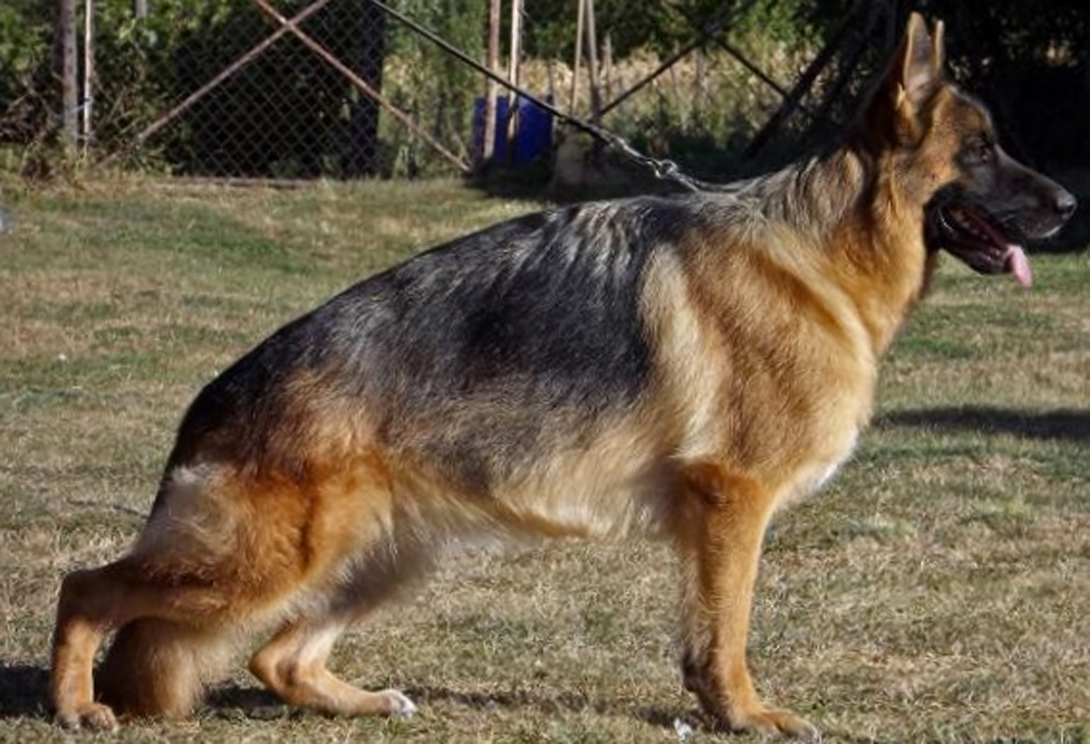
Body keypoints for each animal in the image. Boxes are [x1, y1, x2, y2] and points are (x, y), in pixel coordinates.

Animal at [51, 14, 1074, 738]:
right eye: (982, 152)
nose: (1070, 202)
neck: (823, 249)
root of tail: (212, 403)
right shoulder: (732, 503)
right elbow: (727, 633)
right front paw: (744, 715)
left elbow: (706, 633)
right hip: (268, 559)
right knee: (86, 587)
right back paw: (74, 704)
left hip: (383, 557)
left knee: (277, 661)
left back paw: (365, 702)